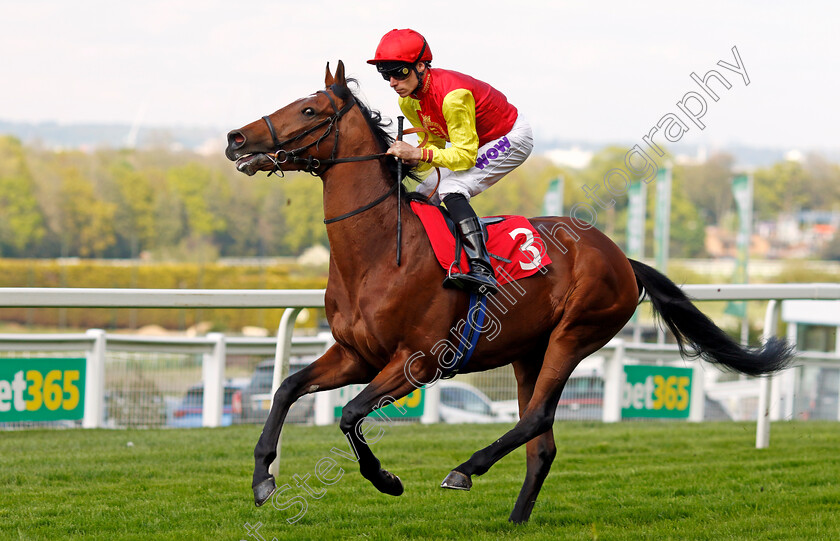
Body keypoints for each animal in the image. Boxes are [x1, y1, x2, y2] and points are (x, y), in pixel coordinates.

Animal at [225, 61, 796, 520]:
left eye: (308, 109)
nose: (235, 138)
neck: (378, 254)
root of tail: (622, 258)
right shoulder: (355, 355)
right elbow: (286, 388)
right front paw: (263, 479)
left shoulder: (418, 361)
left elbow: (349, 414)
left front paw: (386, 480)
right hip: (528, 351)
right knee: (540, 444)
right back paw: (516, 517)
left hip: (575, 333)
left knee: (538, 416)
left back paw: (465, 468)